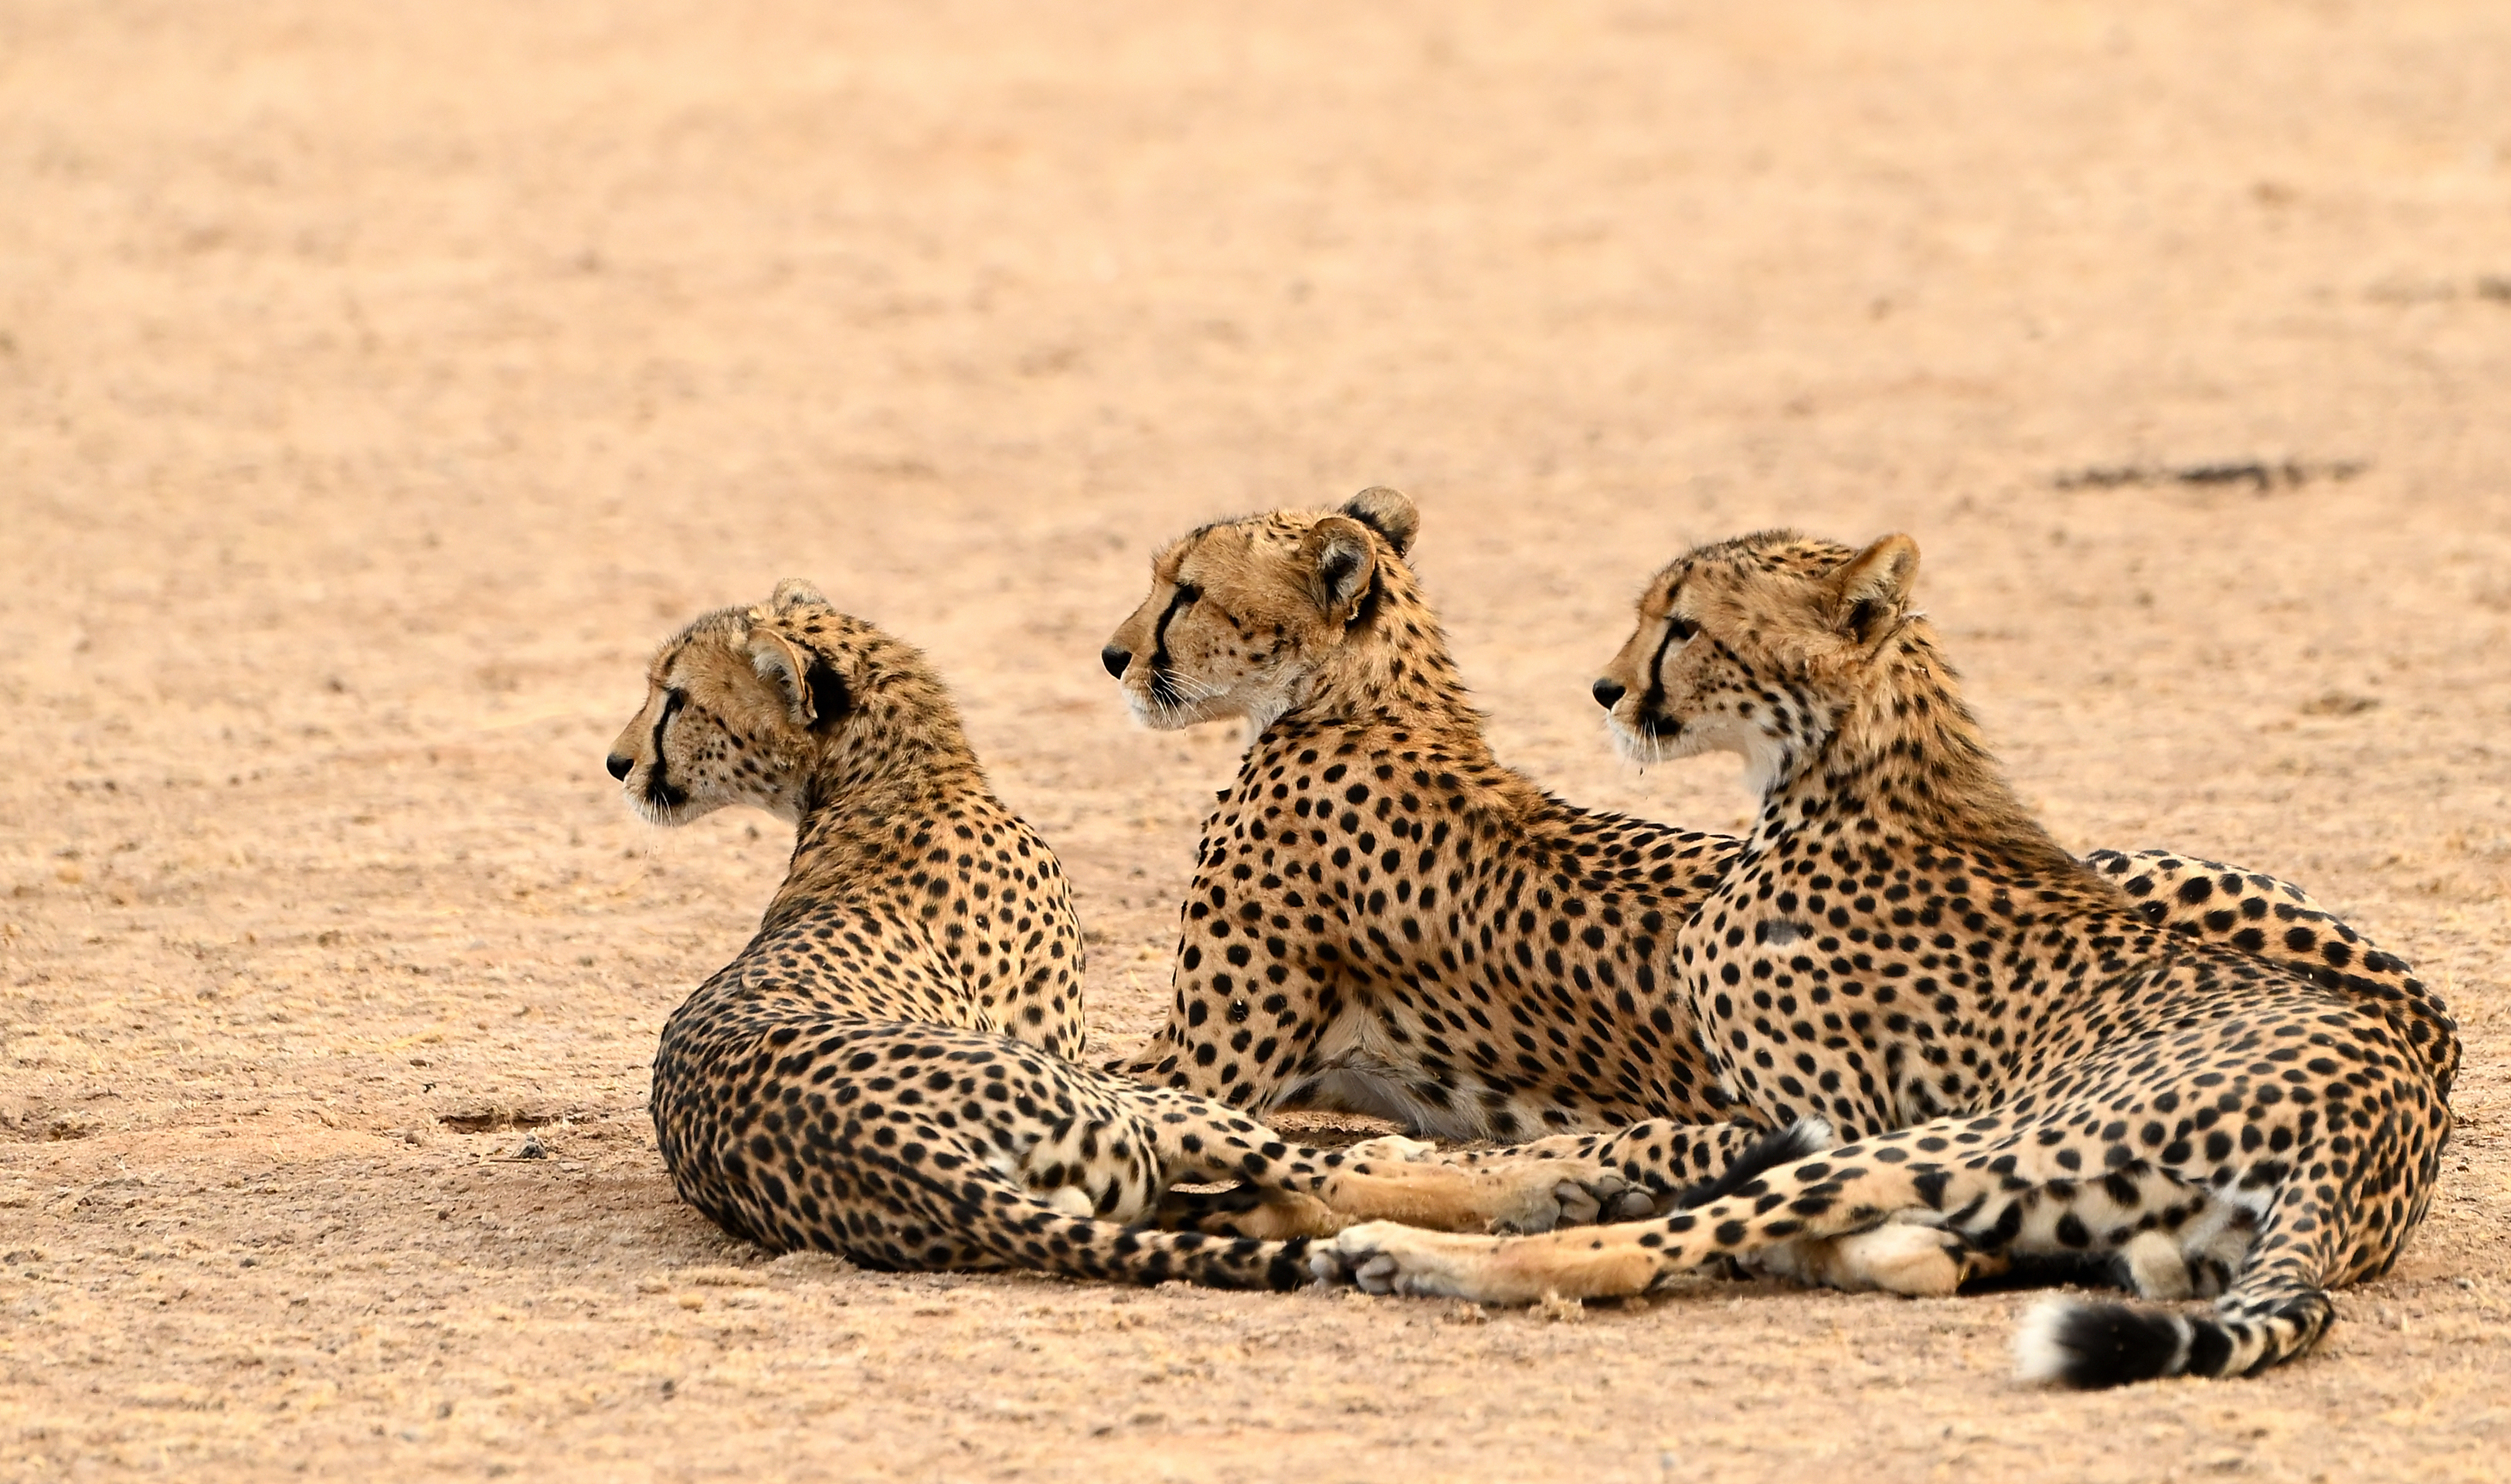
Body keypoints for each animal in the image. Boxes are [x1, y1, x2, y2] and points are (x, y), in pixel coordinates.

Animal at [610, 579, 1627, 1285]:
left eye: (677, 697)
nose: (617, 763)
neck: (893, 779)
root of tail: (900, 1159)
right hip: (1120, 1109)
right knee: (1316, 1177)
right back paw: (1547, 1181)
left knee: (1261, 1196)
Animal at [1326, 527, 2461, 1386]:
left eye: (1683, 625)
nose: (1604, 689)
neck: (1847, 769)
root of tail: (2375, 1124)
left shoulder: (1827, 1114)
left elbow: (1628, 1146)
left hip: (1958, 1142)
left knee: (1637, 1250)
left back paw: (1392, 1248)